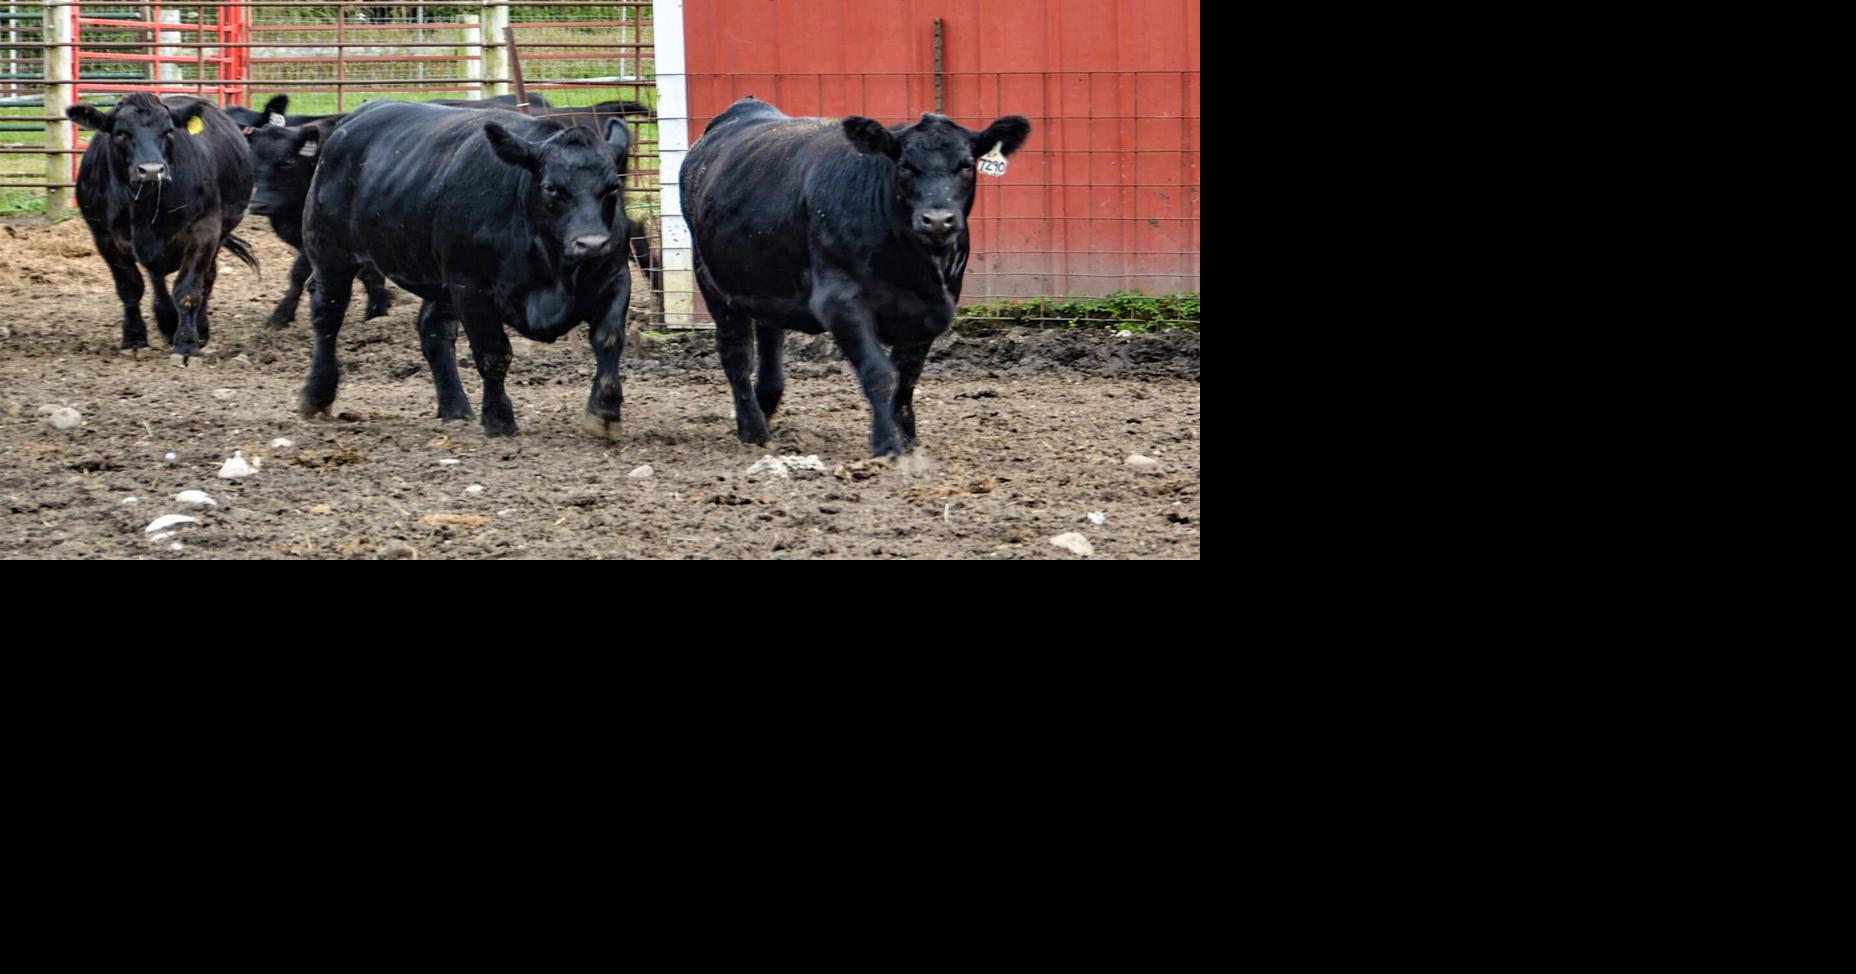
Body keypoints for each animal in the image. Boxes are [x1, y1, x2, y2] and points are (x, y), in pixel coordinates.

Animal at [65, 93, 259, 361]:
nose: (151, 171)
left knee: (206, 279)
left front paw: (186, 343)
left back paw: (198, 328)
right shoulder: (104, 237)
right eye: (121, 133)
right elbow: (130, 287)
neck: (144, 204)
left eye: (168, 131)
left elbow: (188, 289)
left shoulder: (204, 231)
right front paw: (134, 338)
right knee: (156, 277)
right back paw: (166, 319)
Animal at [300, 101, 633, 440]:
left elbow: (608, 338)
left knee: (433, 329)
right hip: (330, 254)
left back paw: (454, 406)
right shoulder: (471, 287)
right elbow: (493, 353)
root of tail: (358, 115)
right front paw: (499, 419)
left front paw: (604, 413)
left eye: (612, 188)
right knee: (327, 316)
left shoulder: (615, 278)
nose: (591, 243)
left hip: (438, 280)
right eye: (552, 188)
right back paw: (317, 393)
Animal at [680, 97, 1030, 456]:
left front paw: (906, 434)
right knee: (735, 350)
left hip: (765, 275)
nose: (937, 220)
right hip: (709, 276)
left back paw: (766, 403)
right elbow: (880, 373)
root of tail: (744, 109)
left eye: (966, 165)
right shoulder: (841, 303)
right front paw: (886, 443)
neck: (913, 266)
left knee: (769, 335)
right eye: (905, 165)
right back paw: (752, 427)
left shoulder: (933, 309)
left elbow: (908, 374)